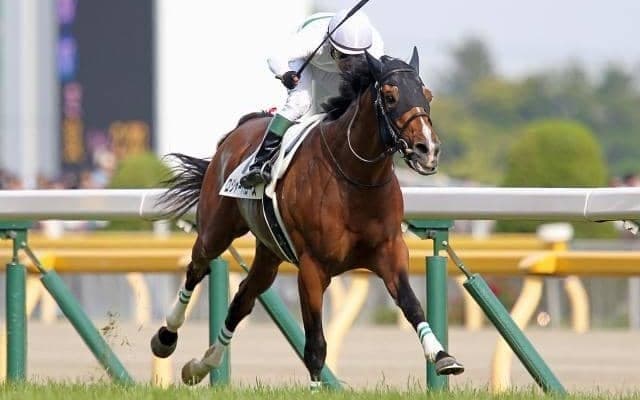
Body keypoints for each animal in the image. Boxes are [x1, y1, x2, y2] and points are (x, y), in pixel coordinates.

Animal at [151, 48, 464, 387]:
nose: (427, 149)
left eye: (427, 94)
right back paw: (166, 337)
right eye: (390, 96)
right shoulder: (313, 268)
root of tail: (239, 131)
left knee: (242, 298)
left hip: (269, 252)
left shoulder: (390, 251)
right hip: (216, 230)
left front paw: (442, 356)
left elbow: (412, 305)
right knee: (196, 268)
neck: (355, 178)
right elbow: (315, 344)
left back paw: (201, 365)